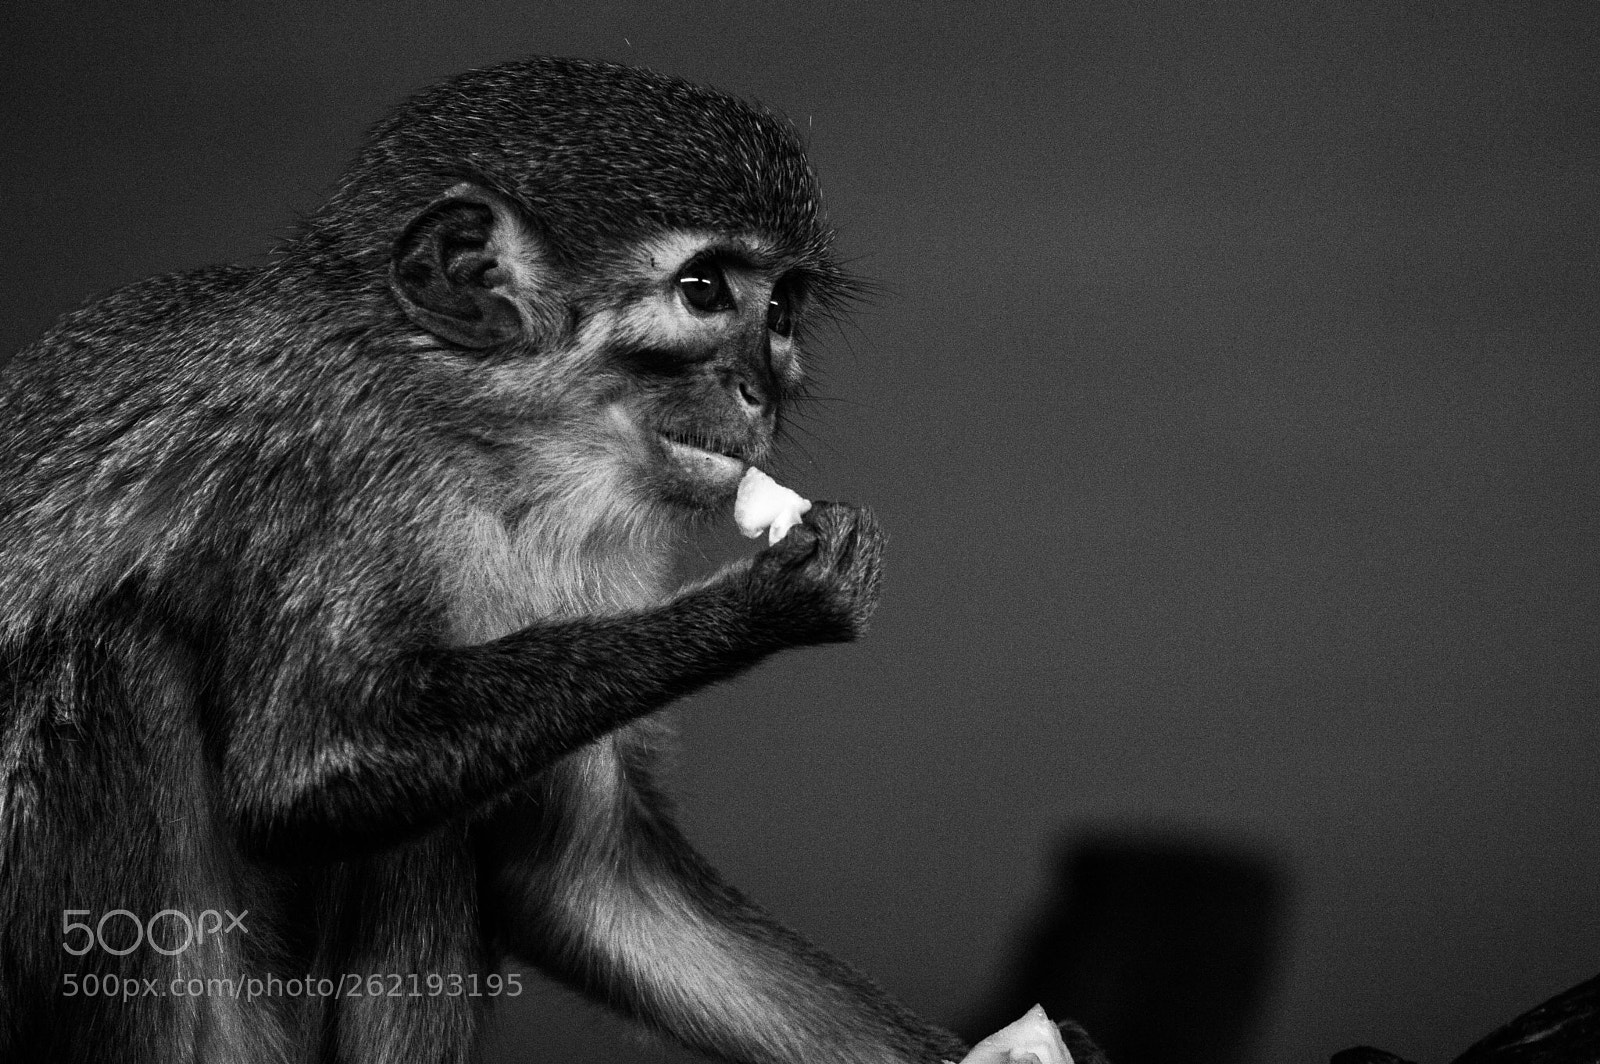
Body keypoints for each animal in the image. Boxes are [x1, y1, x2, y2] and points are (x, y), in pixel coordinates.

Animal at [0, 56, 1107, 1064]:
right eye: (704, 290)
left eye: (782, 311)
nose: (760, 385)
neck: (486, 441)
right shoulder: (346, 459)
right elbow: (302, 767)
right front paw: (770, 601)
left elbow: (584, 876)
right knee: (125, 659)